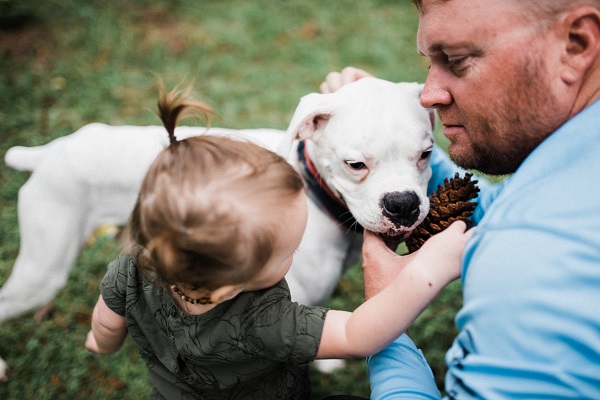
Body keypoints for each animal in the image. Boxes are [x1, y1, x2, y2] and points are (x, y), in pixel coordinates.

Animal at [0, 77, 432, 378]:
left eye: (426, 154)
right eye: (355, 164)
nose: (402, 204)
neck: (316, 193)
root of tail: (49, 152)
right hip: (43, 272)